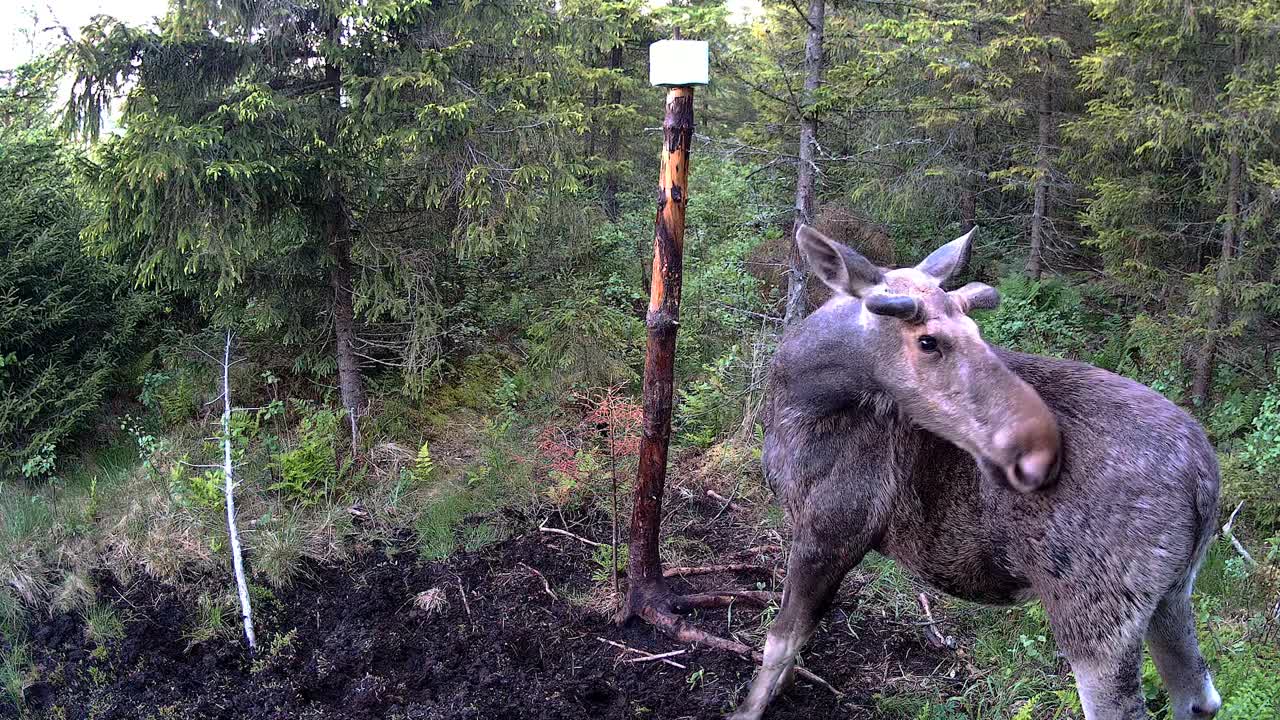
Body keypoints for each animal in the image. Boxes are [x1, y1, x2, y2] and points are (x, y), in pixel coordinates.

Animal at [732, 225, 1218, 717]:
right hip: (1172, 594)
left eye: (974, 329)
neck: (798, 403)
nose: (1039, 447)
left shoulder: (832, 529)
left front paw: (750, 706)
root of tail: (1204, 478)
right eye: (928, 340)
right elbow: (801, 631)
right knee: (1200, 698)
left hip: (1095, 612)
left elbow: (780, 638)